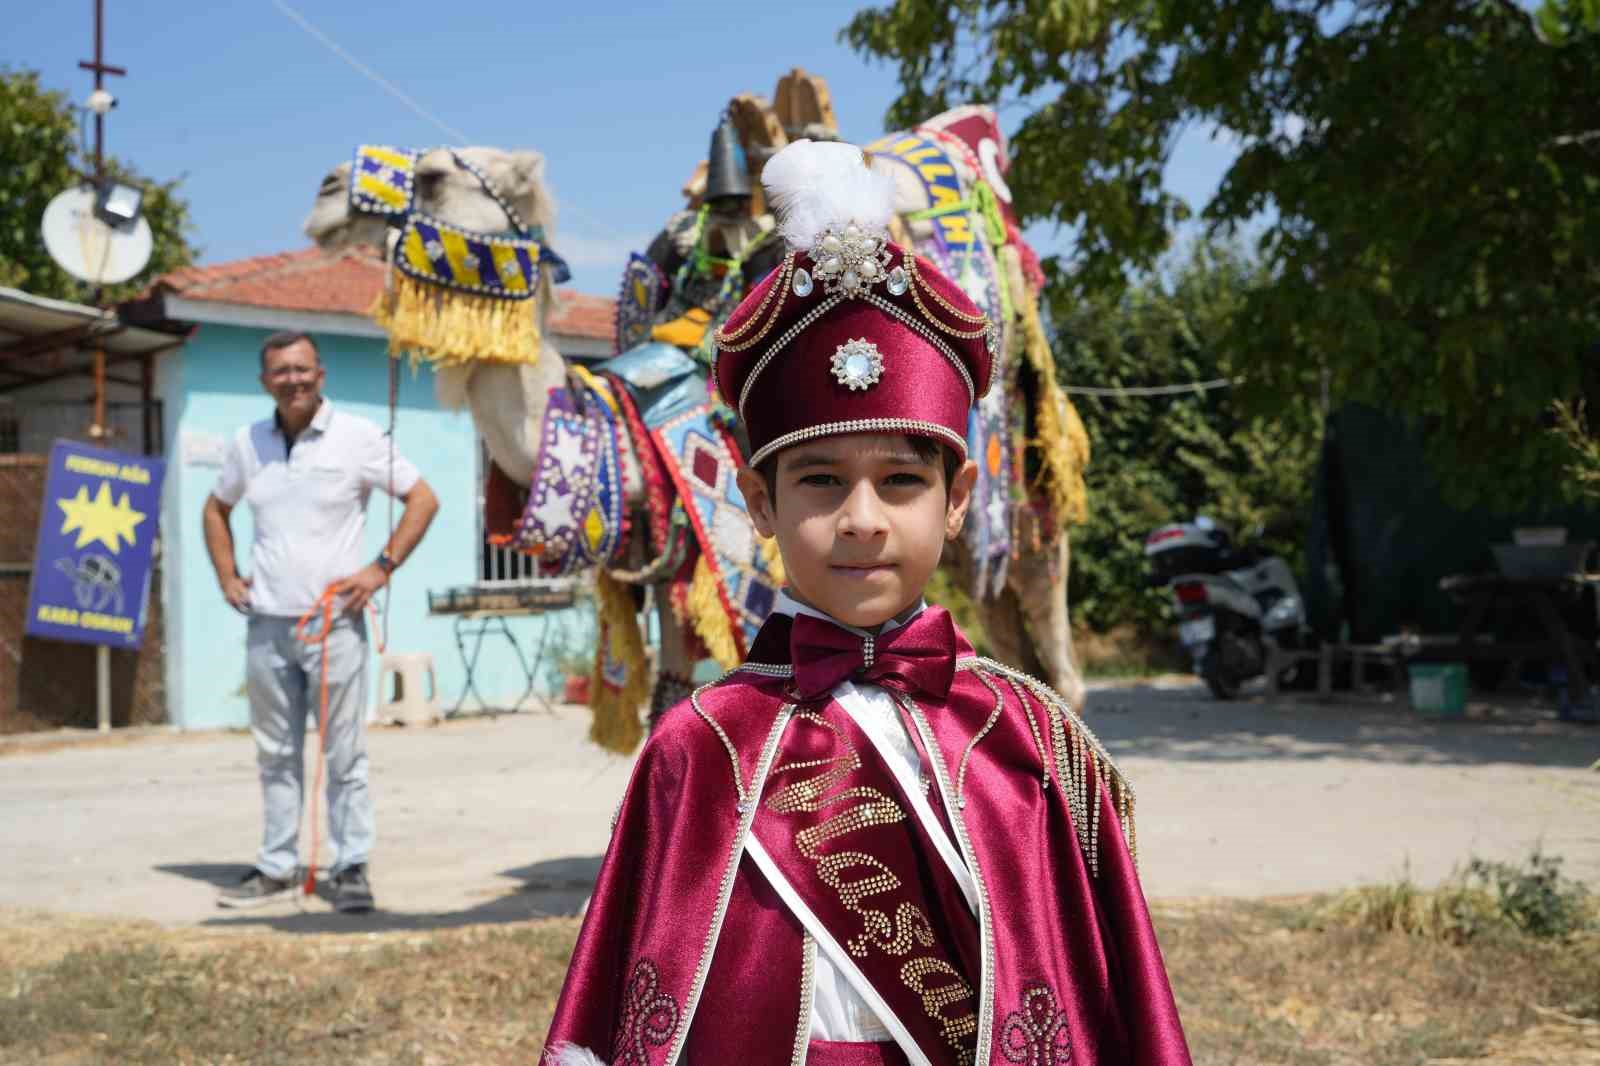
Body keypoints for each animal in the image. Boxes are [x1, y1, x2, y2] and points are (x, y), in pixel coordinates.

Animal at [305, 70, 1094, 752]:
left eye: (436, 175)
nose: (326, 192)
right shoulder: (670, 569)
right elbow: (670, 702)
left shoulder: (746, 559)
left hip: (1023, 502)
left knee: (1057, 647)